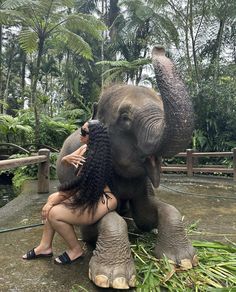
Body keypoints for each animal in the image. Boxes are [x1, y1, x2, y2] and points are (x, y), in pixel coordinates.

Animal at [56, 46, 198, 290]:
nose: (158, 49)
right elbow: (95, 223)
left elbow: (147, 215)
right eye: (125, 118)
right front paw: (114, 279)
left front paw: (184, 261)